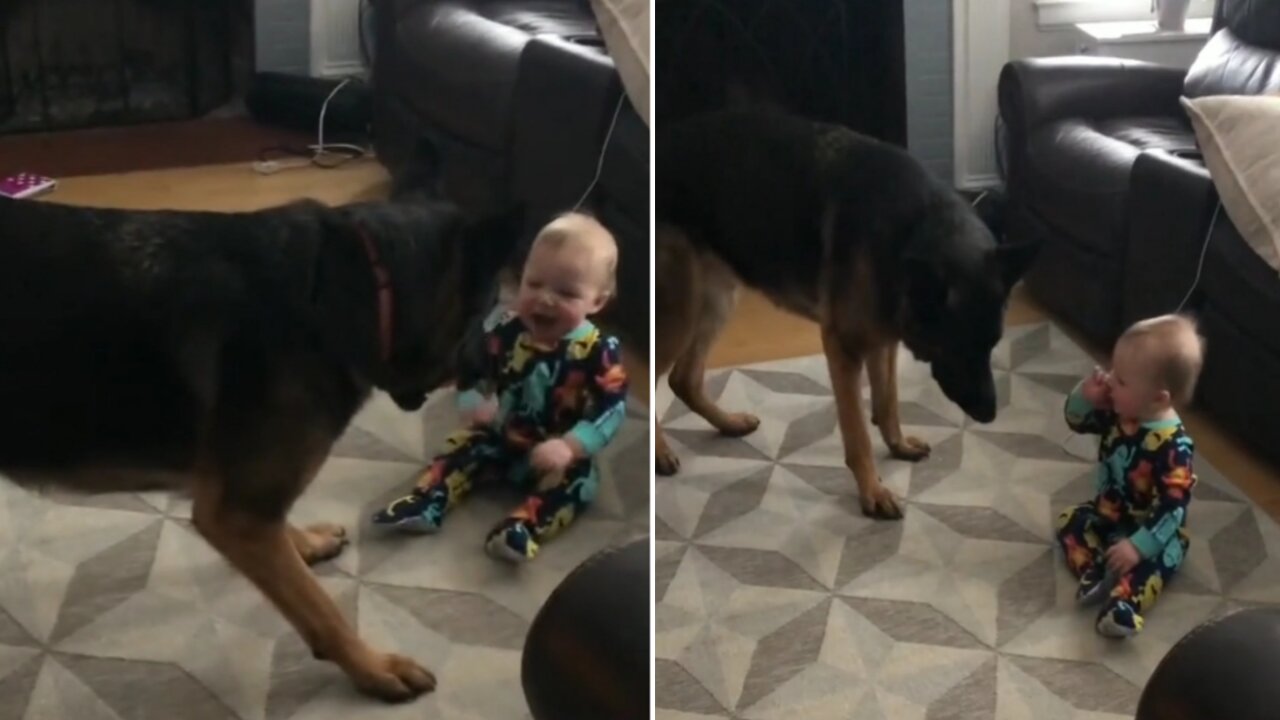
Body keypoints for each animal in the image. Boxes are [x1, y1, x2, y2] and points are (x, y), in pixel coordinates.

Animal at [0, 193, 529, 696]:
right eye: (486, 313)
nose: (494, 373)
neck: (349, 287)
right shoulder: (237, 515)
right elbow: (320, 607)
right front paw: (372, 667)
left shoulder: (252, 506)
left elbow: (288, 547)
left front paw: (304, 542)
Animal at [655, 107, 1034, 515]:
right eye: (957, 348)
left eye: (993, 344)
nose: (989, 414)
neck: (911, 232)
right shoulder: (845, 348)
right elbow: (857, 432)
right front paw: (872, 491)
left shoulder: (883, 340)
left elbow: (888, 403)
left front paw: (898, 446)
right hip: (678, 312)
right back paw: (659, 452)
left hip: (717, 300)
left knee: (683, 379)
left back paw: (728, 423)